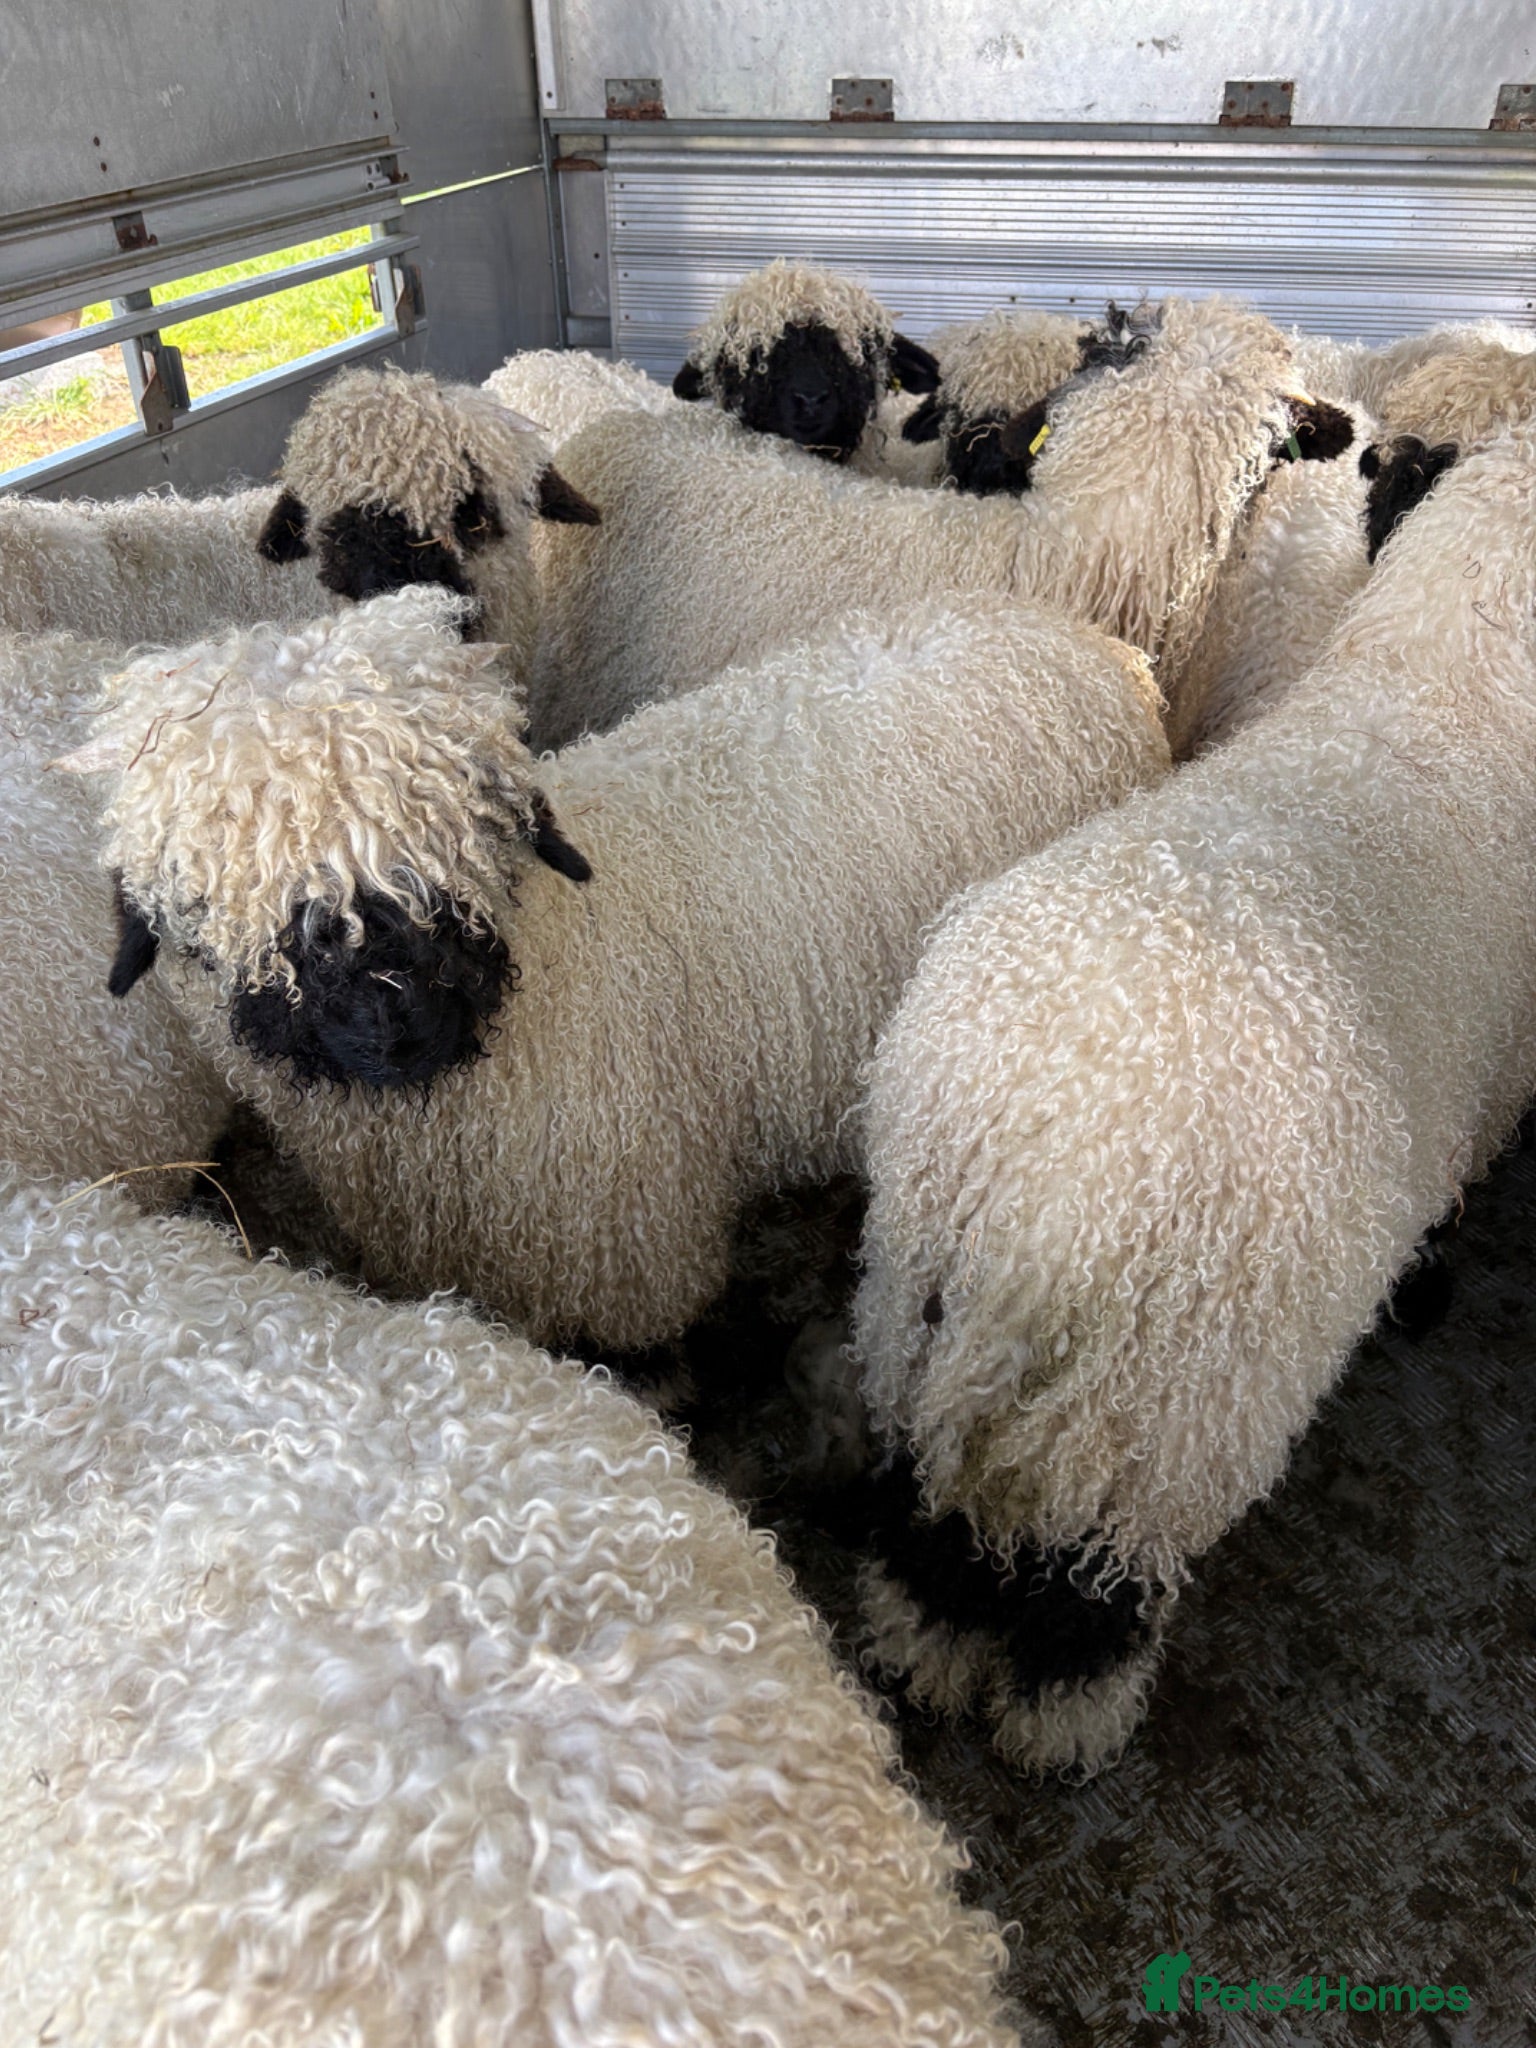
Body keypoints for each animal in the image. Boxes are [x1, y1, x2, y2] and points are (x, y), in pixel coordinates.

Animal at [846, 401, 1536, 1778]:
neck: (1446, 698)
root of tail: (1032, 1171)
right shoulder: (1484, 1110)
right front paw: (1426, 1294)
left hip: (911, 1309)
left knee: (927, 1511)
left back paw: (922, 1652)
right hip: (1168, 1408)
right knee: (1086, 1580)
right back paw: (1064, 1723)